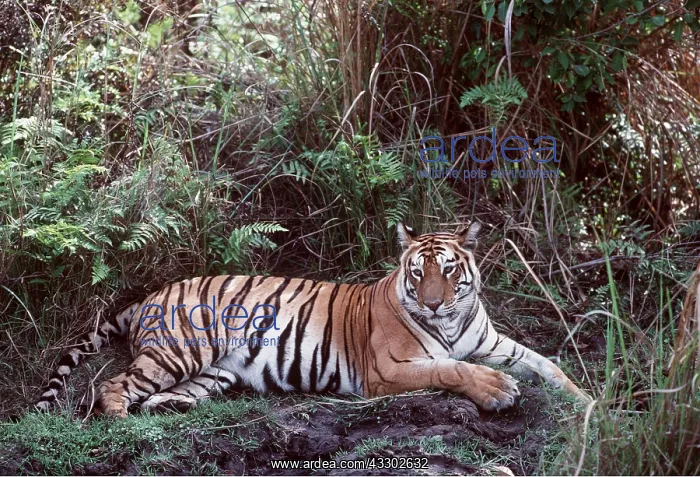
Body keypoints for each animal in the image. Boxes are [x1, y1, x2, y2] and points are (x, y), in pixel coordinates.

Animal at [36, 221, 590, 417]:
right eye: (419, 273)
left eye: (450, 271)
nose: (434, 303)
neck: (452, 322)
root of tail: (150, 293)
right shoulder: (387, 369)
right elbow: (450, 367)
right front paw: (497, 391)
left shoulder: (493, 343)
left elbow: (548, 365)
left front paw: (590, 403)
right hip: (181, 350)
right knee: (113, 385)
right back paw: (119, 419)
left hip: (211, 373)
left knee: (159, 394)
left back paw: (164, 410)